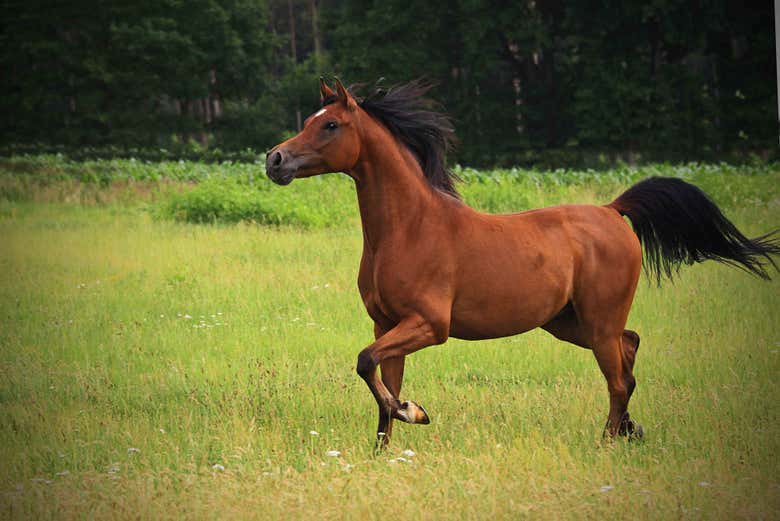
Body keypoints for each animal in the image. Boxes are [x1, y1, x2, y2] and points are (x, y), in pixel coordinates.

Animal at [265, 78, 779, 445]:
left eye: (330, 125)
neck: (409, 228)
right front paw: (388, 447)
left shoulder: (428, 325)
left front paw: (417, 412)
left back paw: (607, 442)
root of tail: (613, 210)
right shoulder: (386, 324)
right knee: (630, 350)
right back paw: (631, 431)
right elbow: (379, 383)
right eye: (311, 119)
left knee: (617, 378)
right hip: (568, 322)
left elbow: (365, 363)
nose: (274, 160)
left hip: (597, 322)